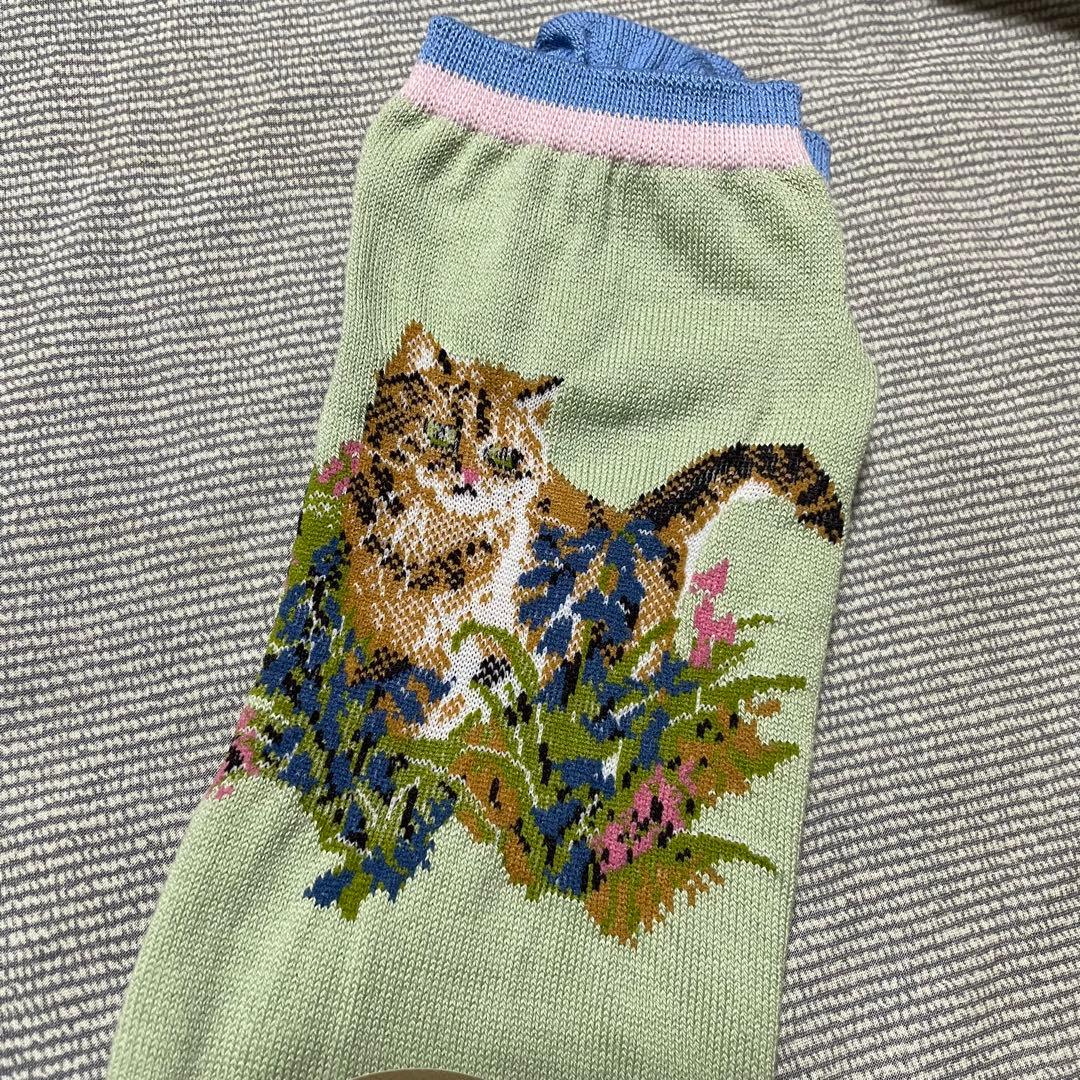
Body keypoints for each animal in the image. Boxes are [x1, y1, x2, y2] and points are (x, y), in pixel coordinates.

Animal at [337, 323, 844, 734]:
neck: (425, 542)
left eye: (504, 457)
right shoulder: (375, 628)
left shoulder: (494, 646)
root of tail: (641, 520)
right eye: (441, 433)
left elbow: (434, 707)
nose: (470, 478)